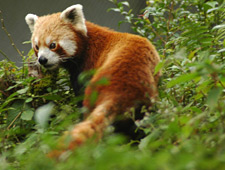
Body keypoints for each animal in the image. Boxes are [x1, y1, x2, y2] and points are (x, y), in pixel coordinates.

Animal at [25, 4, 160, 157]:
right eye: (37, 47)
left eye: (52, 45)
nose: (42, 60)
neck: (86, 44)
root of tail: (118, 90)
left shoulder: (86, 69)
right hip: (146, 102)